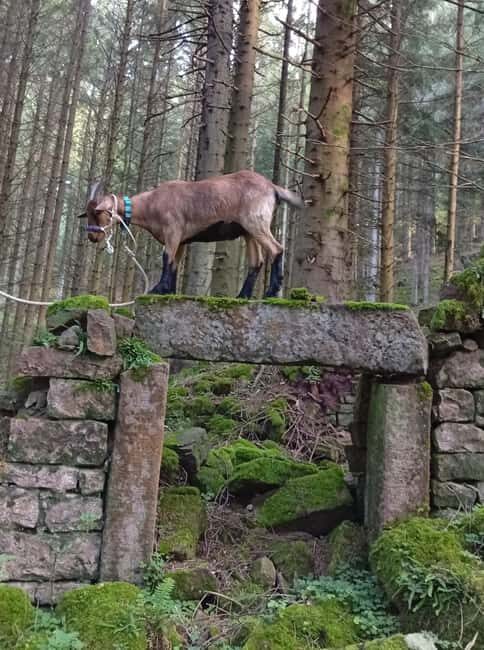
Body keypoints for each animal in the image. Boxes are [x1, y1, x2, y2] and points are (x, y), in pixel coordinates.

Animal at [77, 170, 304, 298]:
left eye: (98, 213)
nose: (93, 237)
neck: (152, 203)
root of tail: (272, 187)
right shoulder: (182, 240)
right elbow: (174, 264)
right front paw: (168, 290)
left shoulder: (173, 230)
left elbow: (166, 258)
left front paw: (157, 289)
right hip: (247, 231)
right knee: (257, 261)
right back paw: (243, 295)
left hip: (255, 221)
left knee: (277, 249)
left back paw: (270, 292)